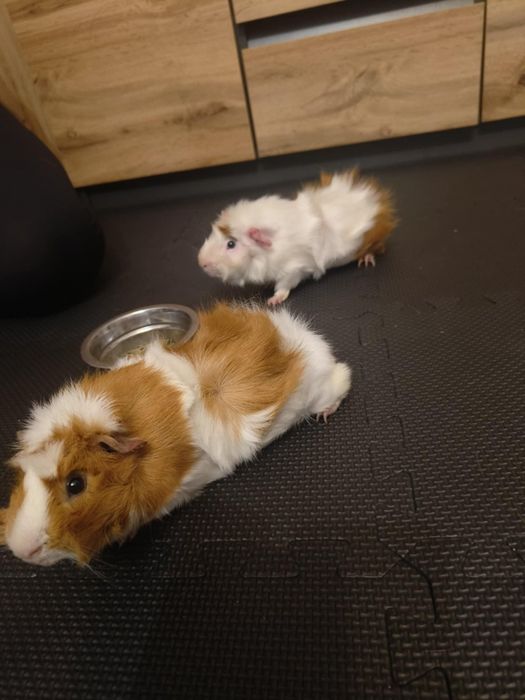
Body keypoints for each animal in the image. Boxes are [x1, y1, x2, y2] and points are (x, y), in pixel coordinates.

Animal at [1, 303, 351, 566]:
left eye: (76, 483)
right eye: (22, 481)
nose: (21, 549)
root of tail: (305, 338)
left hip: (322, 389)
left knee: (344, 379)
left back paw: (325, 412)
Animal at [198, 169, 397, 305]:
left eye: (231, 244)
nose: (202, 263)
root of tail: (376, 199)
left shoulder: (293, 270)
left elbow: (283, 287)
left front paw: (273, 301)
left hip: (371, 242)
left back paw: (366, 261)